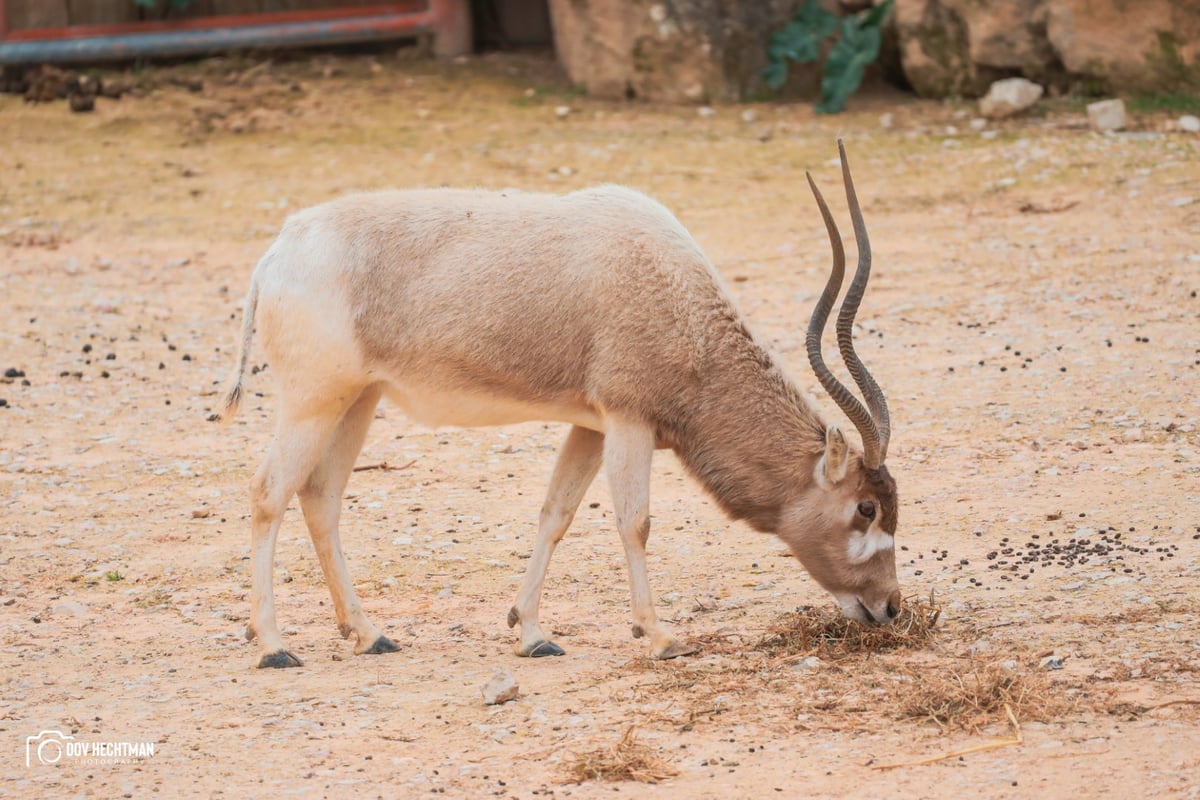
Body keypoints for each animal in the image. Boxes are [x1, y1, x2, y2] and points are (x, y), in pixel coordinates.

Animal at [223, 140, 902, 666]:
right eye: (865, 508)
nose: (890, 607)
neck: (676, 295)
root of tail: (280, 250)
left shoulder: (592, 425)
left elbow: (557, 513)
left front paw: (530, 632)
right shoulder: (628, 419)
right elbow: (634, 521)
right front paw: (659, 636)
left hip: (355, 400)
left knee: (320, 497)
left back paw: (368, 633)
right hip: (312, 400)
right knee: (268, 492)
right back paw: (273, 645)